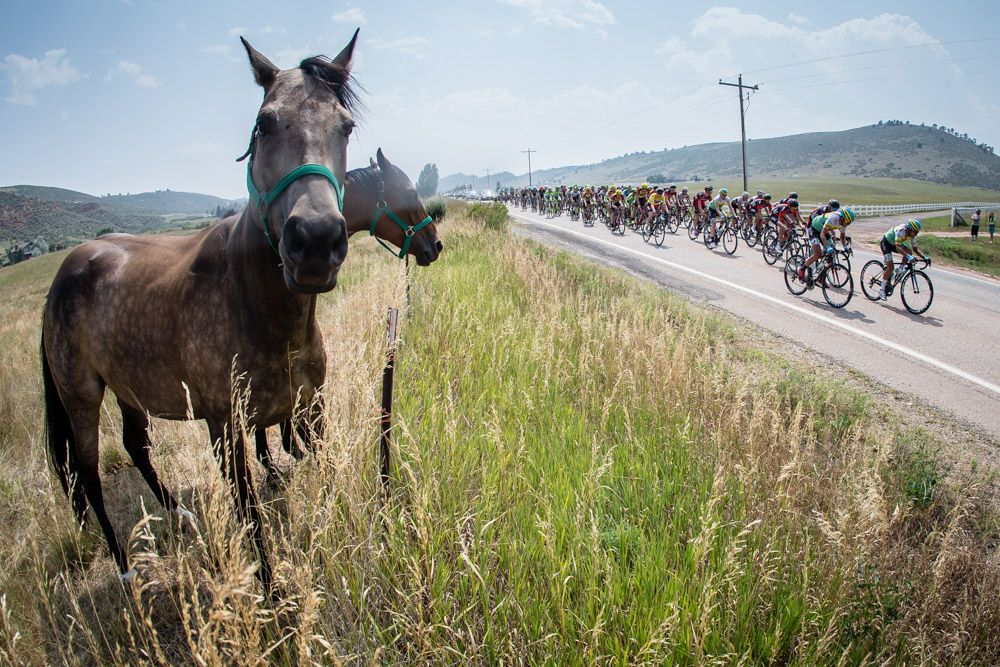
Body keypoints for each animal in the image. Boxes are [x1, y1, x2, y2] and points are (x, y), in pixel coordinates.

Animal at [41, 33, 361, 590]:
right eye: (264, 123)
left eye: (346, 126)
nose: (316, 240)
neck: (261, 309)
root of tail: (68, 270)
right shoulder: (225, 429)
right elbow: (251, 518)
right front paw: (272, 593)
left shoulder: (311, 408)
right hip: (81, 397)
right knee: (88, 476)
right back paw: (124, 567)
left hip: (129, 388)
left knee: (135, 446)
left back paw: (177, 513)